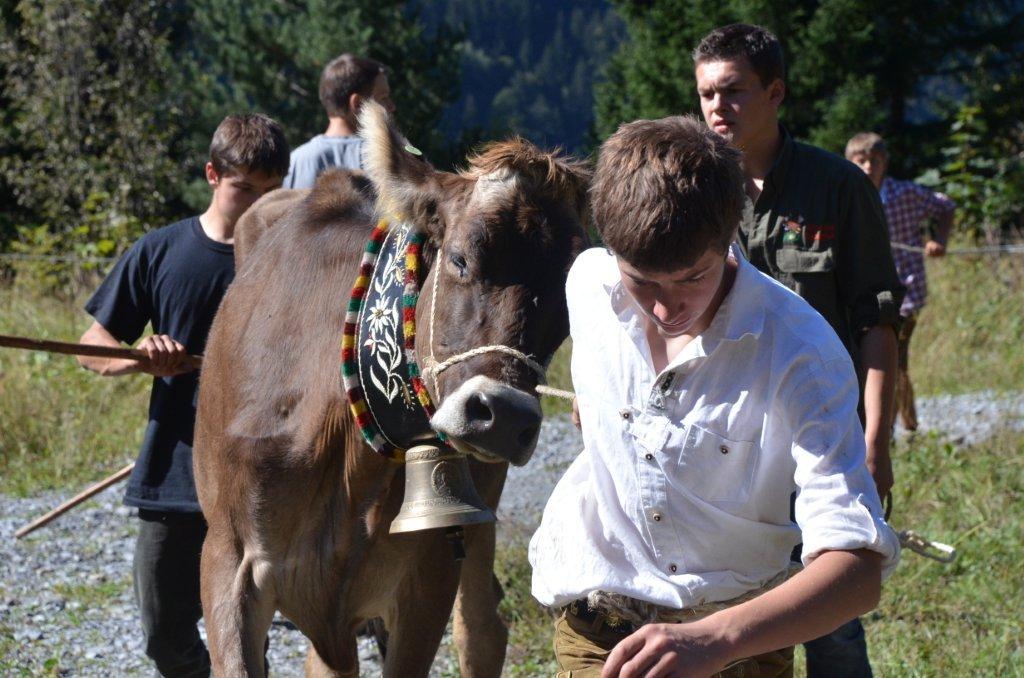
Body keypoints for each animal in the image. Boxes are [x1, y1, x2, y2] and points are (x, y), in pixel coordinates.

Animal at [193, 100, 589, 677]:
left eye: (567, 305)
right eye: (461, 259)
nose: (506, 416)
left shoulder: (429, 569)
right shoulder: (228, 556)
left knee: (482, 627)